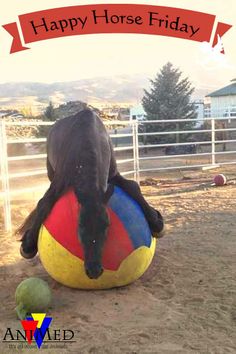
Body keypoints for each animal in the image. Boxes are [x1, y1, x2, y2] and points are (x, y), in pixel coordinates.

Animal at [18, 108, 164, 280]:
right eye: (79, 224)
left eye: (107, 224)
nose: (94, 270)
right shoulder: (58, 182)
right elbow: (44, 203)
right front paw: (28, 245)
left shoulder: (113, 174)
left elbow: (133, 186)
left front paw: (157, 223)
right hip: (50, 171)